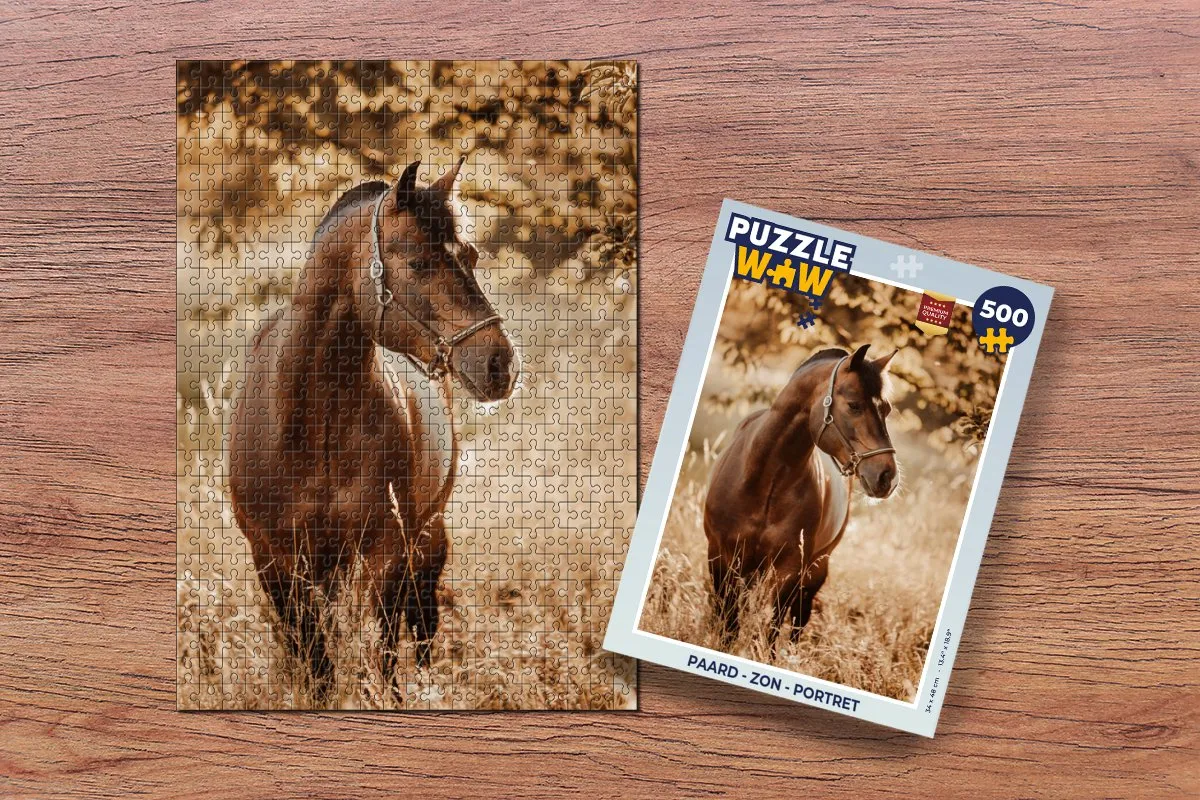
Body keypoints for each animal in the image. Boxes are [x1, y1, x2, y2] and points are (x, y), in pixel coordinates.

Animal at [228, 157, 519, 703]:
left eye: (470, 255)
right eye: (418, 263)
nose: (500, 363)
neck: (313, 423)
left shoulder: (383, 555)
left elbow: (378, 656)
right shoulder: (275, 562)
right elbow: (316, 663)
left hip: (424, 536)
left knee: (421, 622)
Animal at [703, 344, 899, 646]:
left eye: (886, 409)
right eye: (854, 405)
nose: (887, 476)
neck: (764, 481)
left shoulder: (790, 569)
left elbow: (771, 630)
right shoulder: (721, 557)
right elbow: (729, 623)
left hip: (815, 569)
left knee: (798, 621)